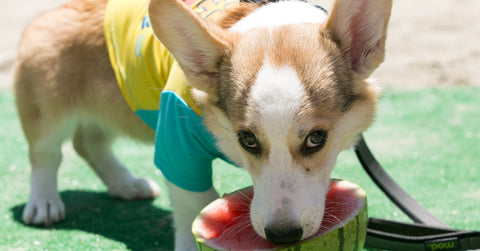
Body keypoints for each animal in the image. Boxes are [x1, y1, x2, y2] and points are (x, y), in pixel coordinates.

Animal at [15, 0, 392, 249]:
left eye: (317, 138)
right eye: (247, 139)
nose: (282, 236)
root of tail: (48, 14)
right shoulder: (176, 146)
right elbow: (193, 204)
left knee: (88, 143)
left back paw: (126, 185)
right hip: (47, 112)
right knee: (46, 155)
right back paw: (44, 203)